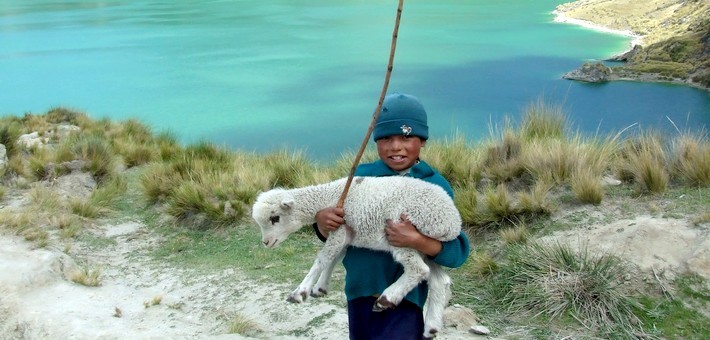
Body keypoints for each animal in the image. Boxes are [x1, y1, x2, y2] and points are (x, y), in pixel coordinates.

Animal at [253, 175, 464, 338]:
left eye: (275, 218)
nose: (266, 242)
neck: (328, 197)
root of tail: (453, 221)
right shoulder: (346, 234)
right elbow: (334, 258)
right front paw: (320, 287)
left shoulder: (339, 228)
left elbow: (322, 259)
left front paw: (300, 292)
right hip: (426, 247)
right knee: (440, 280)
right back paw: (431, 327)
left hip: (405, 234)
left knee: (419, 270)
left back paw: (387, 298)